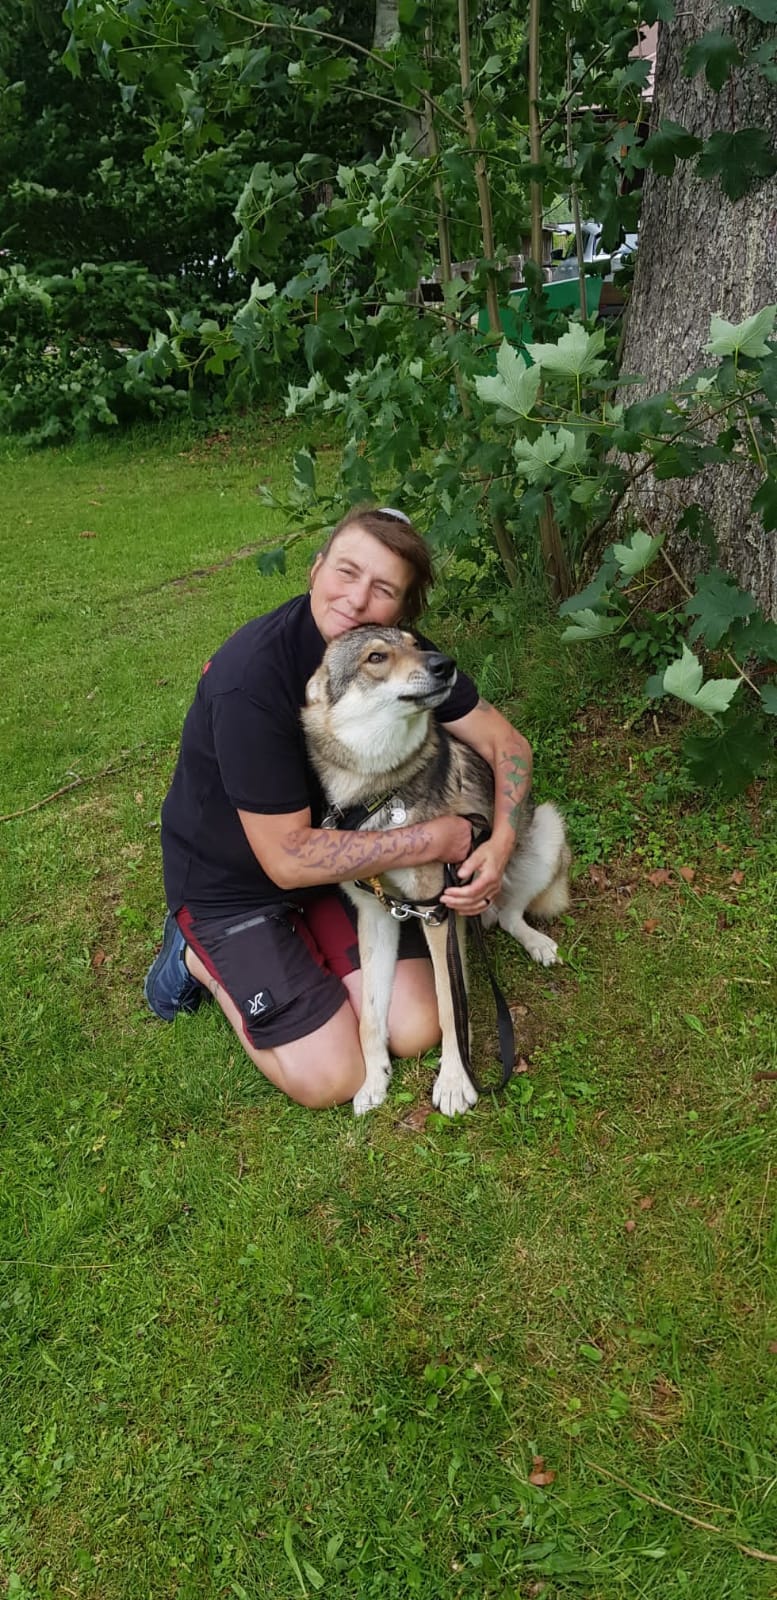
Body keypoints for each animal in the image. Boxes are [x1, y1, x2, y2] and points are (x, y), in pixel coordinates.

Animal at [302, 625, 570, 1117]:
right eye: (376, 657)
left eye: (415, 643)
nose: (445, 664)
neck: (379, 793)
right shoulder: (375, 913)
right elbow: (370, 1016)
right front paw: (374, 1080)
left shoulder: (437, 912)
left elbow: (450, 1008)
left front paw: (454, 1081)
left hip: (543, 830)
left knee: (512, 914)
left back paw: (538, 943)